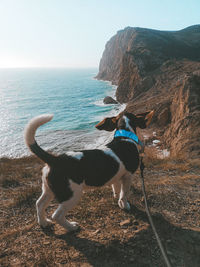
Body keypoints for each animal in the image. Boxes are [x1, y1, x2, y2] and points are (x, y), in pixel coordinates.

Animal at [24, 110, 154, 231]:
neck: (124, 136)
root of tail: (55, 159)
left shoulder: (116, 176)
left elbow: (116, 190)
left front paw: (117, 200)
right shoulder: (128, 176)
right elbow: (124, 193)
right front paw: (125, 205)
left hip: (49, 189)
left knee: (39, 204)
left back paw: (43, 222)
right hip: (72, 195)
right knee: (57, 215)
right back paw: (71, 227)